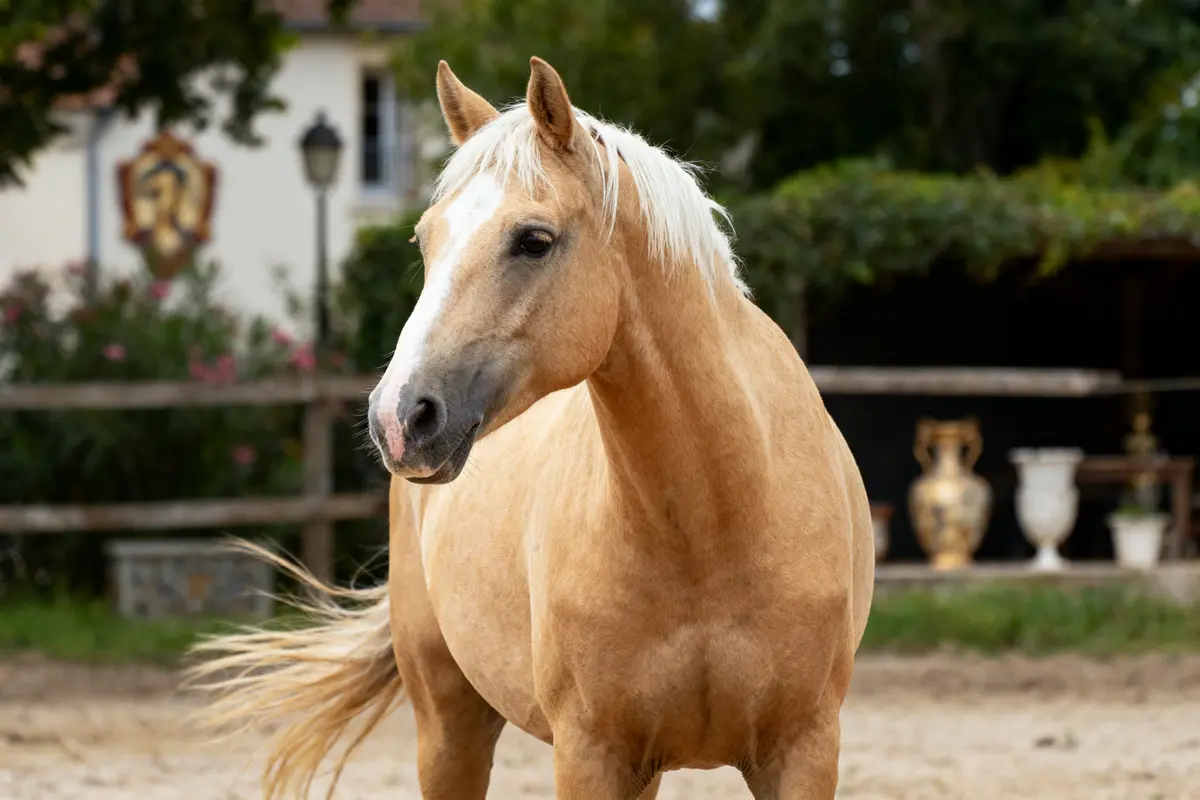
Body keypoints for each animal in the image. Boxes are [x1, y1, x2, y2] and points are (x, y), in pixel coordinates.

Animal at [187, 56, 875, 800]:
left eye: (534, 240)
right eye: (425, 240)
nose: (399, 417)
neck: (716, 522)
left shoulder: (801, 750)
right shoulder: (590, 755)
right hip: (450, 728)